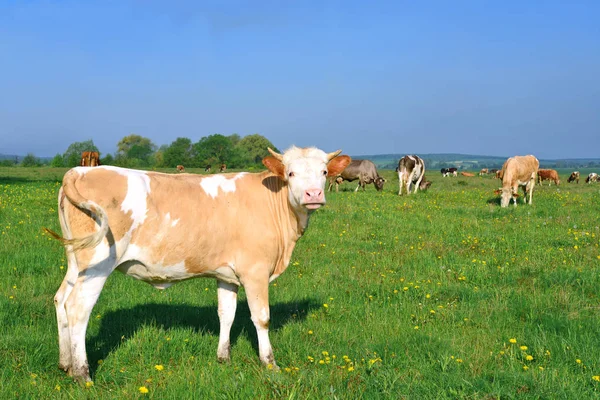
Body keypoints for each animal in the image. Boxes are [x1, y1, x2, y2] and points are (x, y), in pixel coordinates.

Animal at [45, 146, 352, 382]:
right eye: (291, 173)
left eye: (324, 172)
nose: (313, 195)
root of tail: (79, 171)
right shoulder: (255, 271)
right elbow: (261, 318)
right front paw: (270, 364)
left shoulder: (227, 275)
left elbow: (226, 314)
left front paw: (223, 357)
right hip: (97, 264)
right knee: (78, 309)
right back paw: (82, 374)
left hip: (76, 262)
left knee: (61, 299)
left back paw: (64, 363)